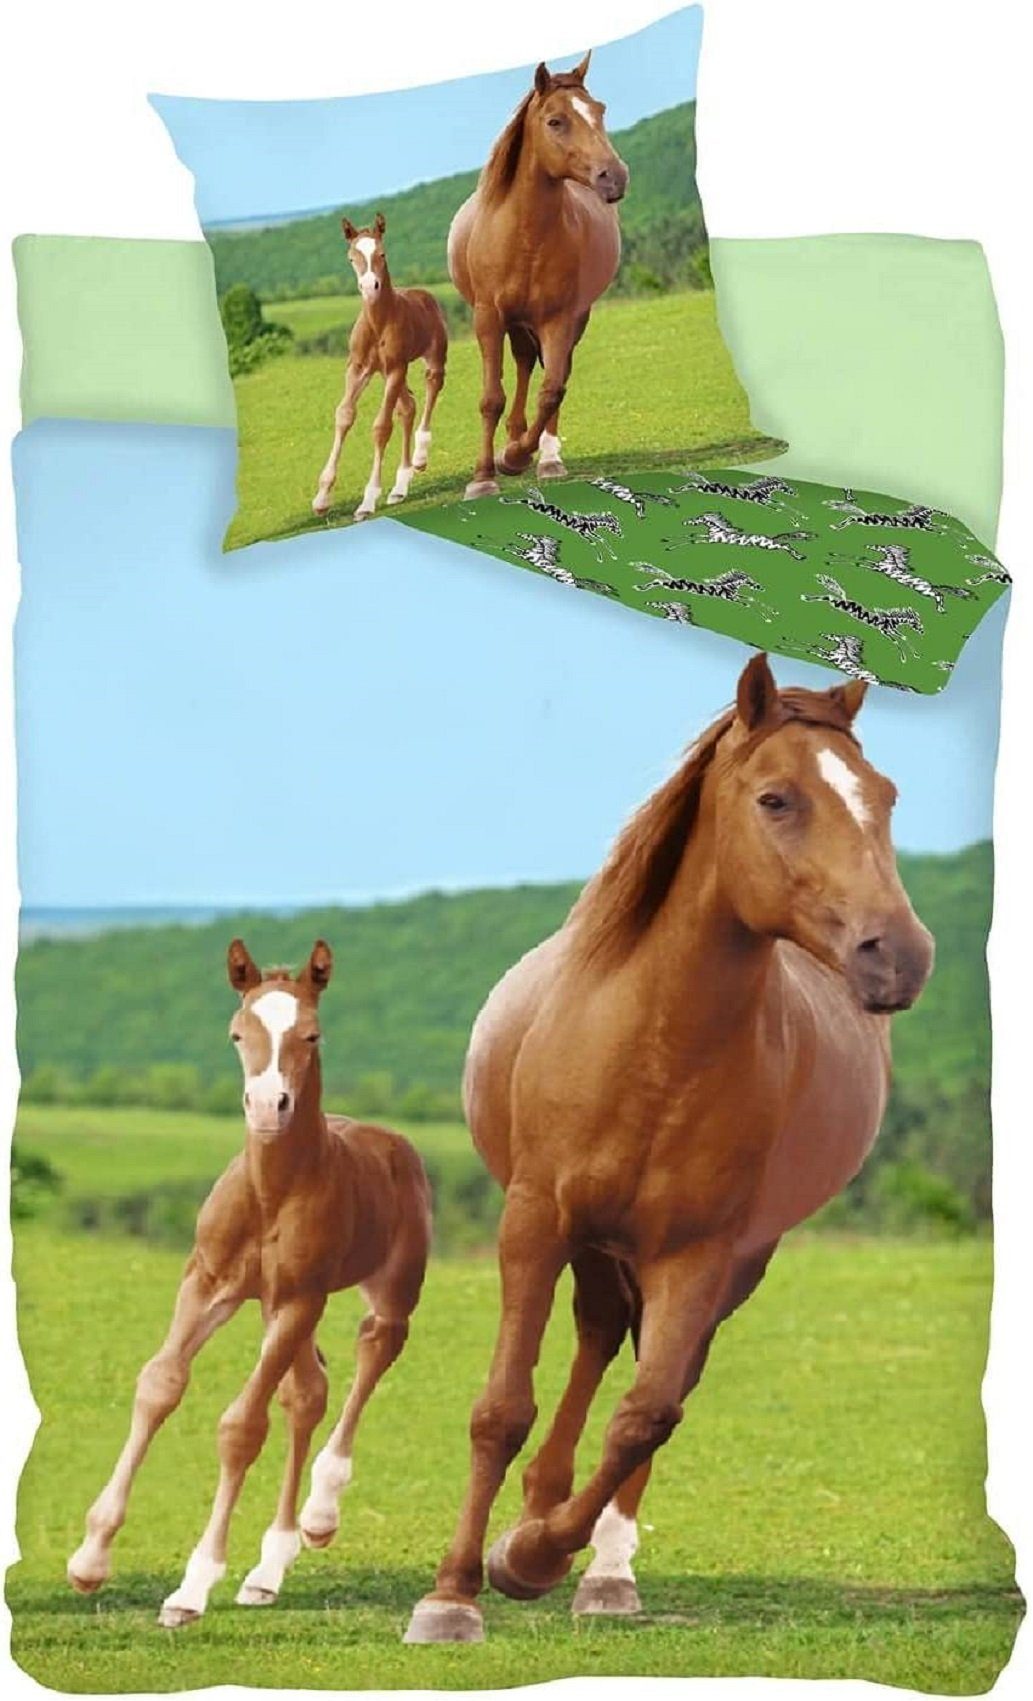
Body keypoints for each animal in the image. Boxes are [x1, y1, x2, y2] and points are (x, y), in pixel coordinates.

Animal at [68, 939, 431, 1627]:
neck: (272, 1195)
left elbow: (241, 1427)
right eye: (238, 1033)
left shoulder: (298, 1298)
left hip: (382, 1290)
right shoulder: (209, 1283)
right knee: (307, 1393)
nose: (267, 1107)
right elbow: (159, 1385)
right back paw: (268, 1569)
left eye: (312, 1034)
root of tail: (392, 1142)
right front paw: (90, 1558)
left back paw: (318, 1515)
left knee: (374, 1349)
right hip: (269, 1307)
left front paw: (192, 1586)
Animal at [312, 214, 448, 521]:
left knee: (432, 387)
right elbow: (344, 415)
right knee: (407, 407)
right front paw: (322, 497)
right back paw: (400, 486)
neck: (378, 323)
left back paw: (420, 457)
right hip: (387, 374)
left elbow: (381, 427)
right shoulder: (358, 368)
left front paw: (368, 500)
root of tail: (425, 295)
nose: (369, 286)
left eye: (382, 254)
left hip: (429, 359)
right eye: (351, 257)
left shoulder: (396, 367)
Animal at [405, 653, 933, 1644]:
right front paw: (453, 1591)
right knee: (595, 1335)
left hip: (721, 1263)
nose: (897, 954)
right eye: (775, 799)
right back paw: (535, 1508)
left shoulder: (699, 1252)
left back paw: (595, 1565)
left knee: (652, 1374)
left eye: (883, 796)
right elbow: (501, 1407)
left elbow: (646, 1413)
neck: (651, 1046)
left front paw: (534, 1556)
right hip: (591, 1243)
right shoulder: (533, 1222)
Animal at [447, 50, 628, 500]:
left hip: (570, 319)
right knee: (524, 362)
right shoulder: (488, 318)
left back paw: (543, 455)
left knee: (551, 374)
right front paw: (484, 475)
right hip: (514, 322)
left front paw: (517, 457)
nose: (613, 177)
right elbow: (491, 397)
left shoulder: (559, 319)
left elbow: (552, 391)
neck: (524, 236)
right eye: (555, 121)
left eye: (600, 110)